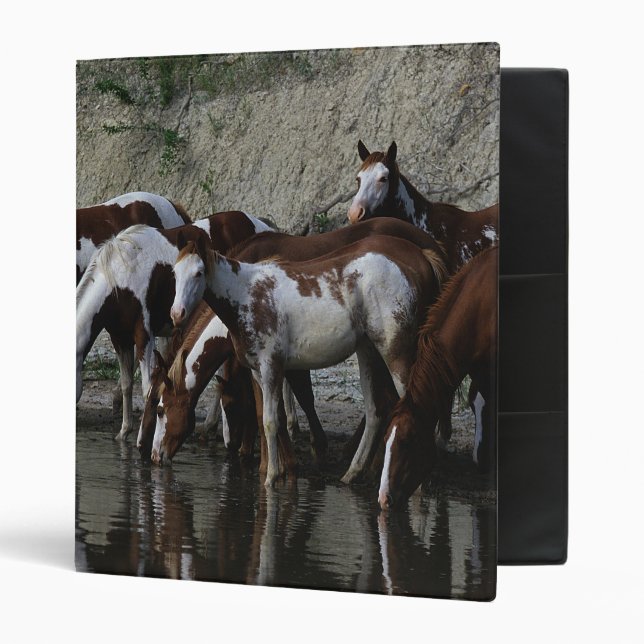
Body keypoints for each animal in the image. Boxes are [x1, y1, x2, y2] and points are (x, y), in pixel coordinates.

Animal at [76, 211, 273, 442]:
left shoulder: (144, 335)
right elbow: (126, 384)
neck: (120, 276)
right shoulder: (120, 338)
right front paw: (124, 431)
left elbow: (147, 389)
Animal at [170, 232, 445, 486]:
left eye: (198, 273)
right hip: (368, 352)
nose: (177, 313)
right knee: (374, 412)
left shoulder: (271, 367)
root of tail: (419, 258)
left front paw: (271, 478)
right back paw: (353, 473)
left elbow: (271, 421)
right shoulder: (258, 371)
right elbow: (270, 419)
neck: (245, 294)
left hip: (395, 353)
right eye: (175, 273)